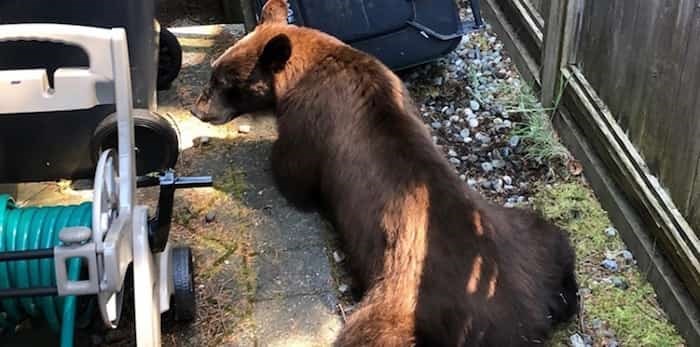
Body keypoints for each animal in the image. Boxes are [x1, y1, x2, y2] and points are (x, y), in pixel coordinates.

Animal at [191, 1, 580, 346]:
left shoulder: (307, 125)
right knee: (556, 241)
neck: (308, 67)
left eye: (224, 81)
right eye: (214, 71)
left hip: (400, 304)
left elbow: (293, 175)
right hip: (526, 234)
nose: (197, 110)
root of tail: (526, 319)